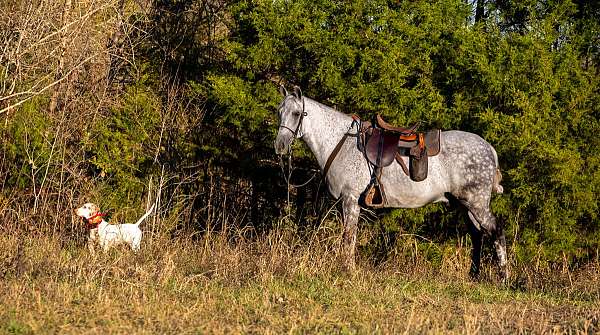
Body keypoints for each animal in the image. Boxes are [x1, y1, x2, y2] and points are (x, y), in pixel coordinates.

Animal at [276, 86, 506, 280]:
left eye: (296, 113)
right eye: (279, 112)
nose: (280, 146)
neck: (341, 143)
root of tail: (489, 148)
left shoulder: (350, 200)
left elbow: (349, 237)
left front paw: (347, 270)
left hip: (477, 203)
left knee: (496, 231)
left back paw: (504, 277)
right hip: (465, 204)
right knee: (477, 236)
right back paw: (473, 276)